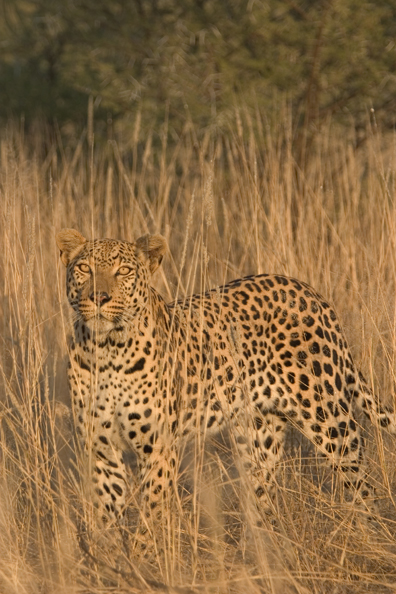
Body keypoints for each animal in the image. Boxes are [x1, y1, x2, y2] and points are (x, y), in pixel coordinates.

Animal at [55, 227, 396, 524]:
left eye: (124, 271)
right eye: (84, 268)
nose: (99, 297)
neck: (106, 352)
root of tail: (310, 292)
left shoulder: (158, 449)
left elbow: (152, 513)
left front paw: (146, 553)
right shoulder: (100, 450)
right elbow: (107, 515)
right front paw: (107, 555)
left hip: (330, 420)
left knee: (362, 485)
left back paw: (369, 533)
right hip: (258, 435)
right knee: (263, 499)